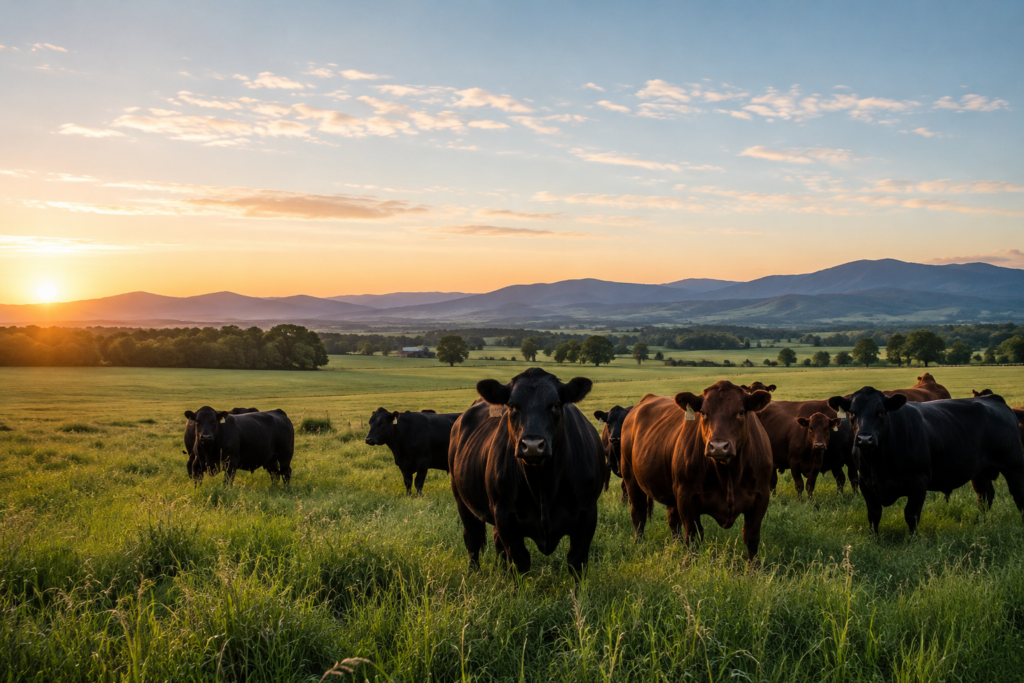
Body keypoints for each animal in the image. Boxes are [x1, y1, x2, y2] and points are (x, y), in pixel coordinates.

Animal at [449, 368, 604, 575]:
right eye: (512, 406)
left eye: (555, 405)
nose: (532, 445)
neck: (543, 485)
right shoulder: (505, 515)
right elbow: (519, 561)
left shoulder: (587, 513)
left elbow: (576, 561)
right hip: (461, 499)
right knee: (472, 538)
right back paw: (475, 574)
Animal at [620, 380, 774, 562]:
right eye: (704, 413)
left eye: (741, 412)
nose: (718, 446)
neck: (728, 475)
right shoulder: (686, 496)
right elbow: (693, 536)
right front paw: (689, 564)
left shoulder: (761, 496)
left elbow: (751, 537)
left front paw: (754, 567)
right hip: (631, 477)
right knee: (639, 513)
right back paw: (639, 544)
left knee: (672, 518)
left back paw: (676, 545)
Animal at [827, 387, 1024, 535]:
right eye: (852, 412)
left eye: (881, 412)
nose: (865, 439)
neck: (878, 463)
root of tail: (993, 399)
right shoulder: (865, 482)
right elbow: (874, 514)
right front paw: (873, 539)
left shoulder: (919, 482)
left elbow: (911, 515)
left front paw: (912, 541)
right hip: (979, 471)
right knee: (984, 496)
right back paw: (978, 523)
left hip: (1013, 466)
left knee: (1018, 494)